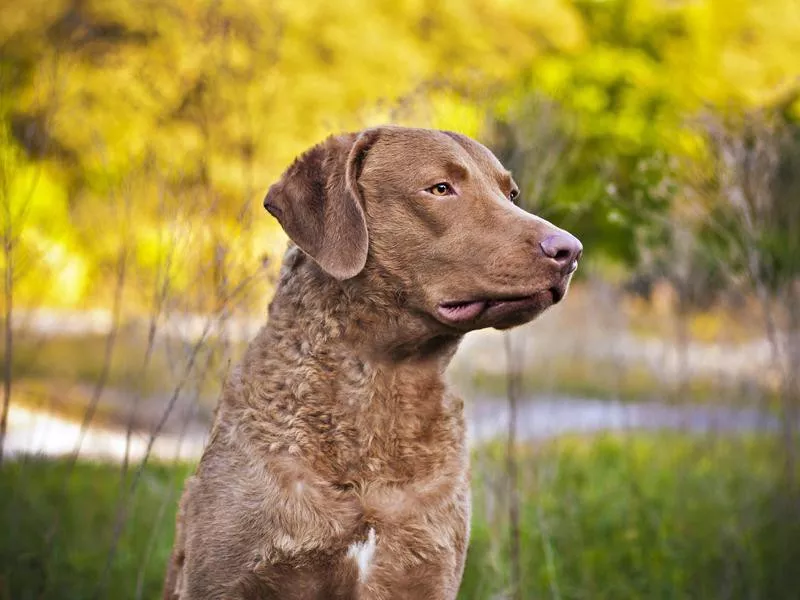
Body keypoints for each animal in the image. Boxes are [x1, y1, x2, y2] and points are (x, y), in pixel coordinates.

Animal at [166, 124, 580, 596]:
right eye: (440, 188)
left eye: (510, 194)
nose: (570, 251)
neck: (380, 388)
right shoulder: (226, 578)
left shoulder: (426, 568)